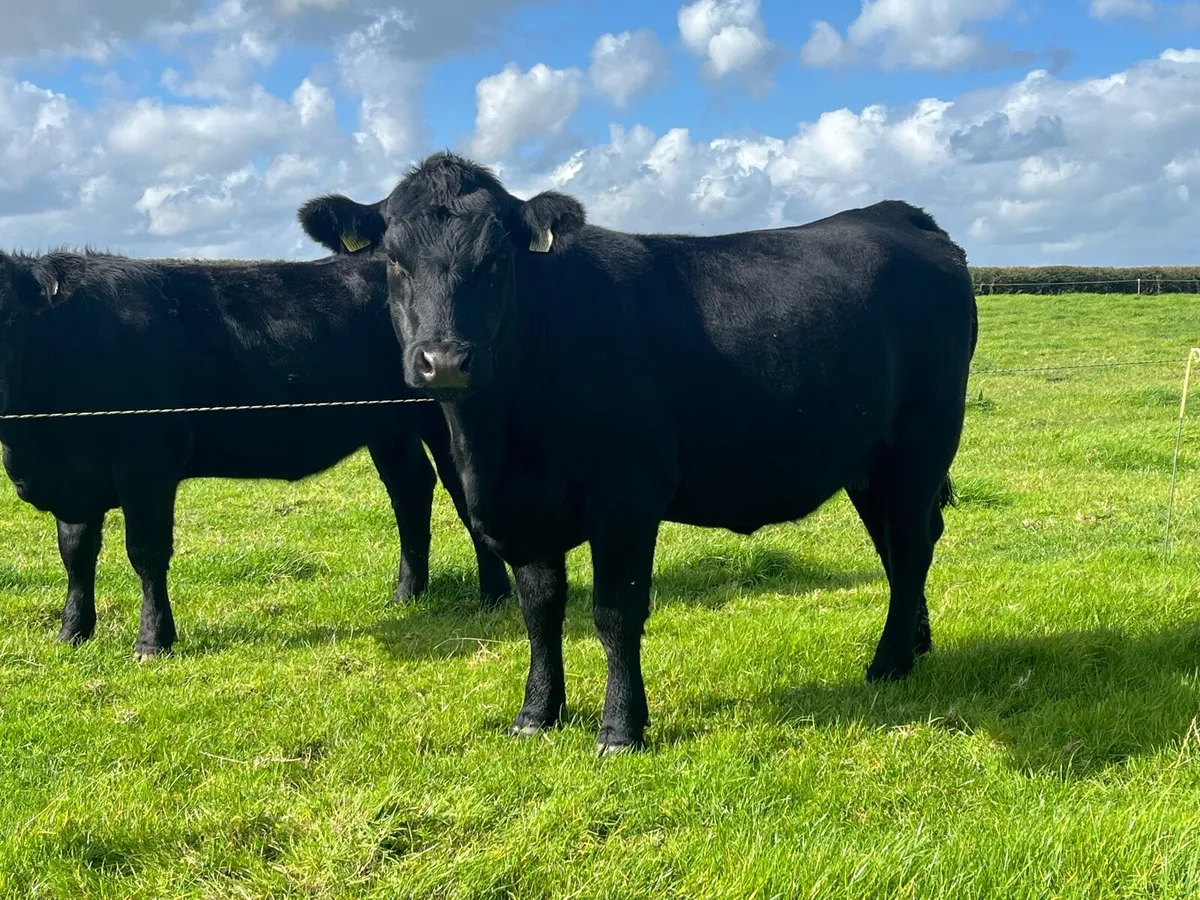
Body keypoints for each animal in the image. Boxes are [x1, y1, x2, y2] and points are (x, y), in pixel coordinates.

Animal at [0, 248, 511, 660]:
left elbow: (145, 553)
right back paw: (407, 593)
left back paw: (493, 594)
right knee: (410, 491)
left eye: (7, 320)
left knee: (462, 494)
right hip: (388, 428)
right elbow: (75, 553)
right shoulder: (75, 478)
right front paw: (72, 633)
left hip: (440, 419)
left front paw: (152, 641)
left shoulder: (147, 464)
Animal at [298, 152, 978, 754]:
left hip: (923, 441)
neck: (499, 442)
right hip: (870, 461)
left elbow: (614, 613)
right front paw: (536, 715)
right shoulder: (521, 512)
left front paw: (621, 728)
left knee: (912, 545)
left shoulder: (625, 500)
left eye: (496, 260)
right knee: (895, 545)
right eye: (394, 260)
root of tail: (895, 214)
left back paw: (887, 662)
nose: (443, 361)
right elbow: (539, 610)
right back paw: (914, 645)